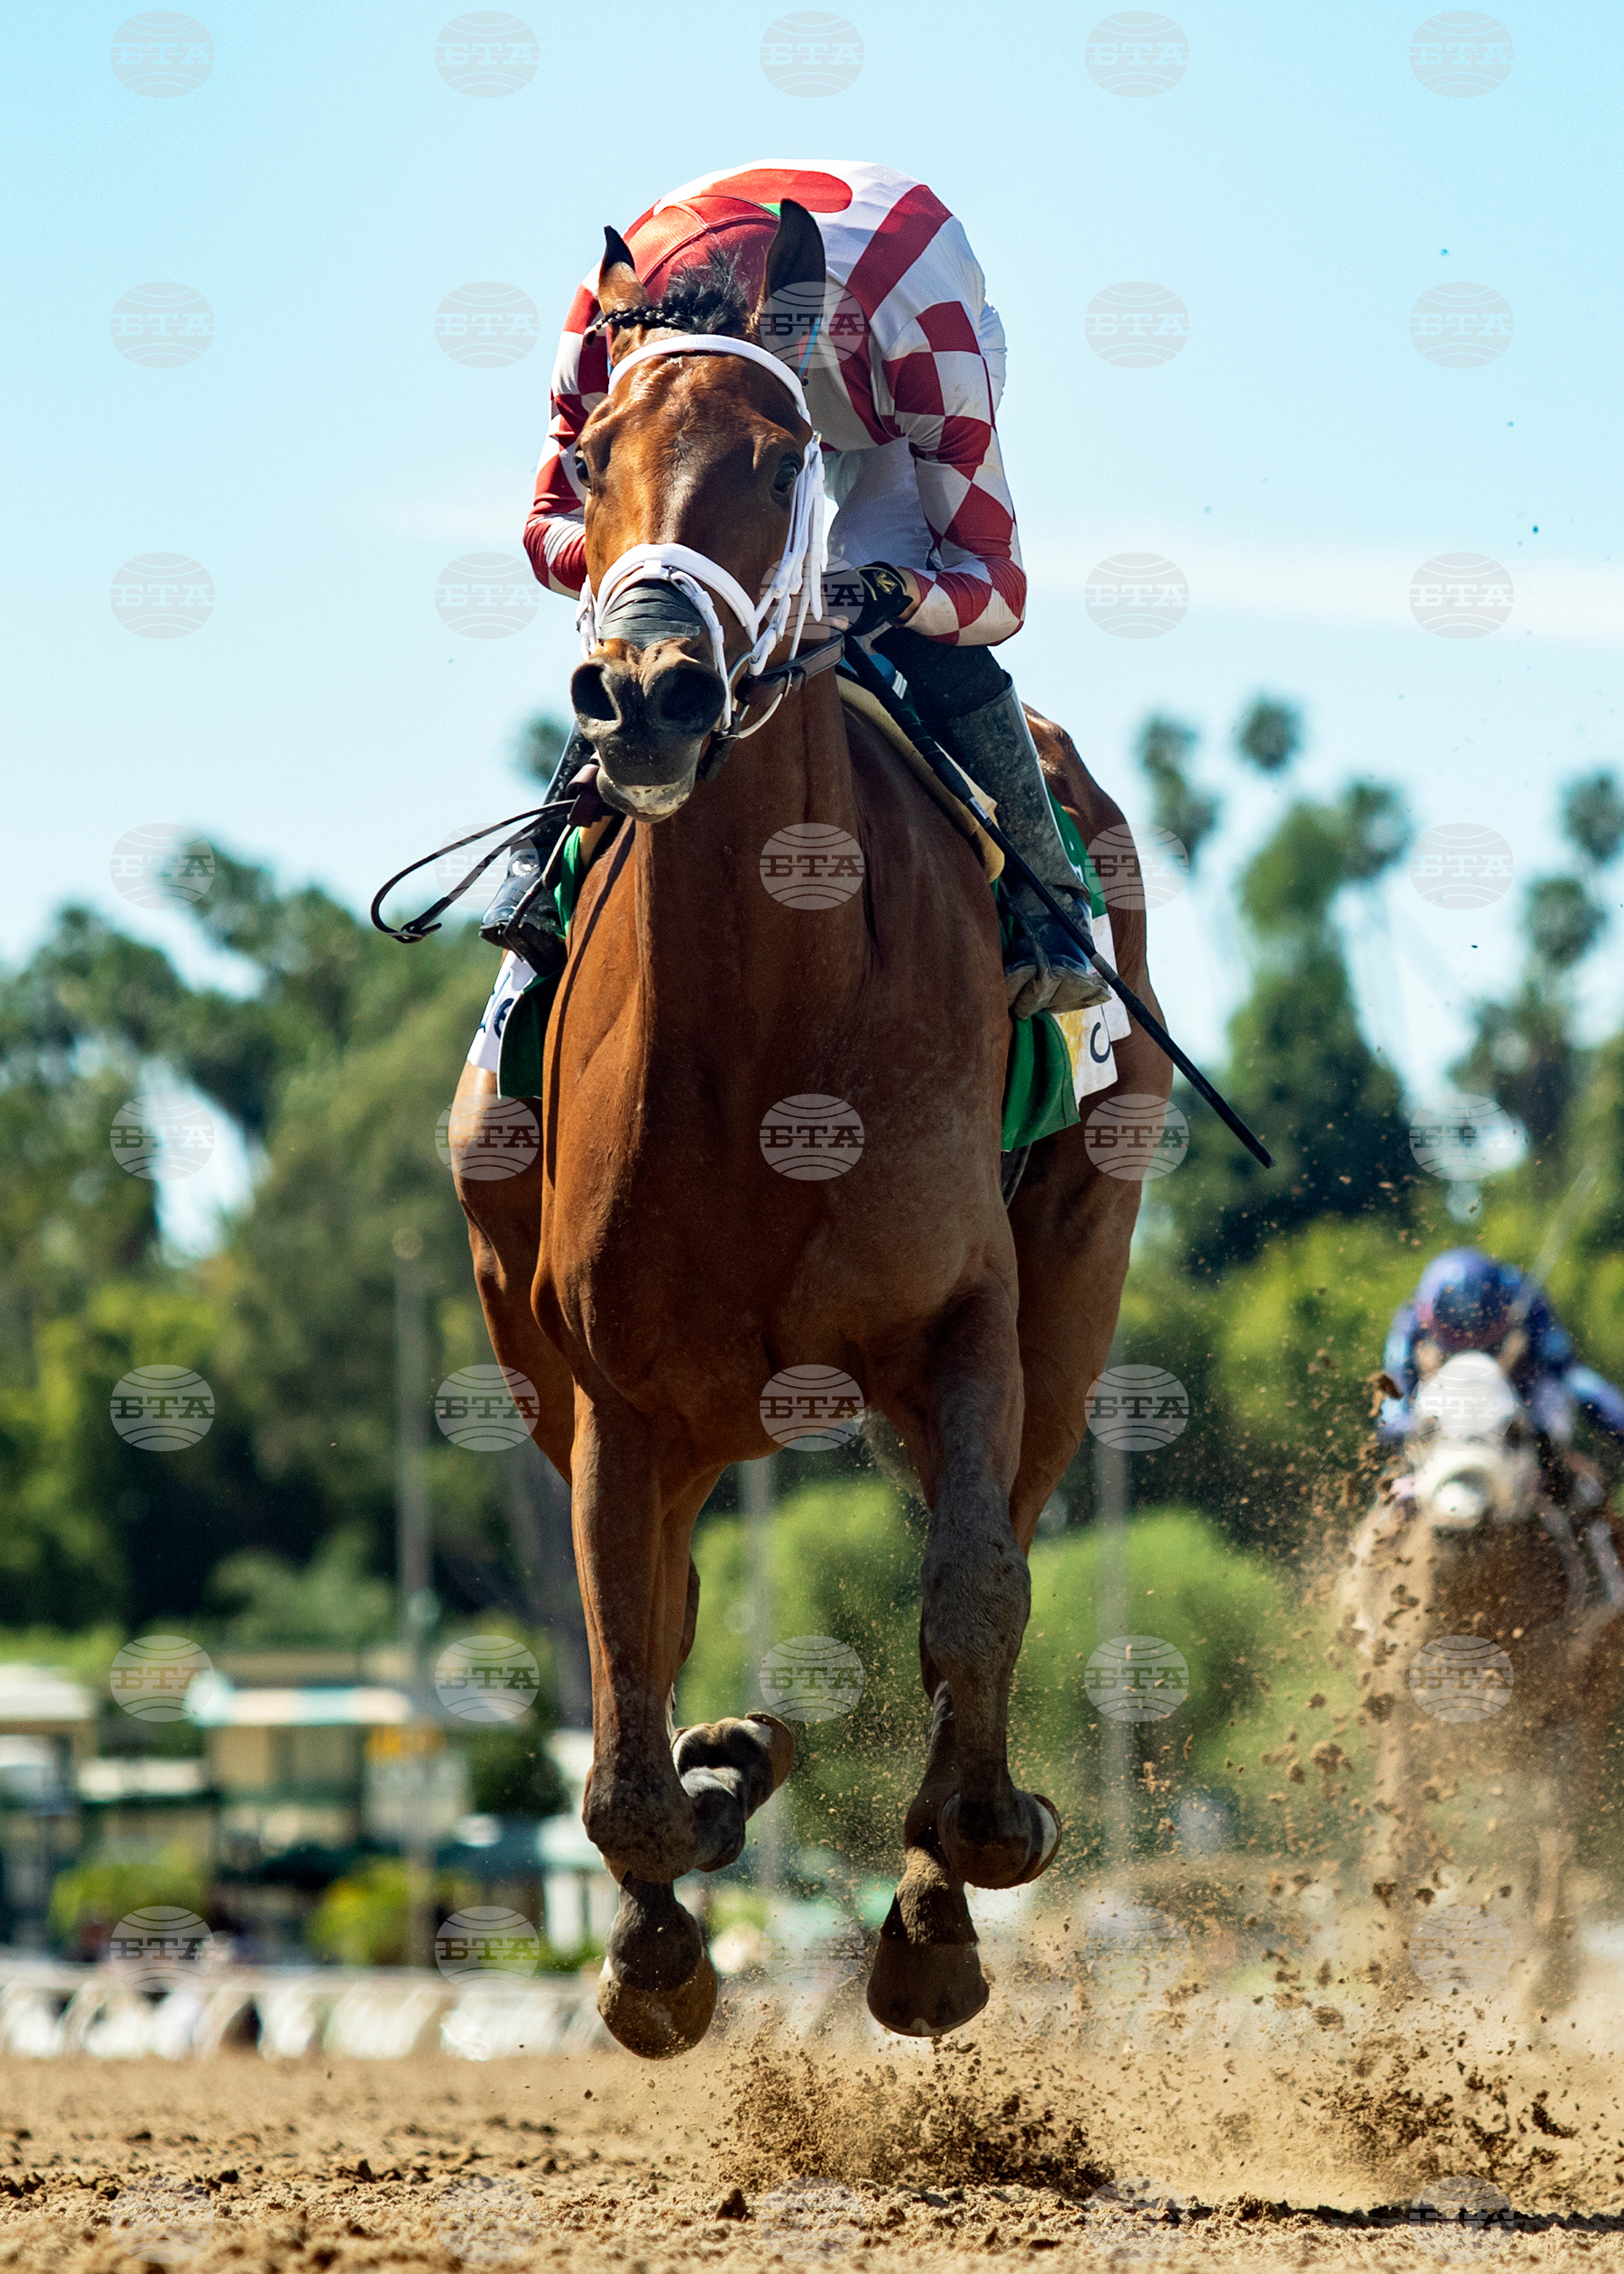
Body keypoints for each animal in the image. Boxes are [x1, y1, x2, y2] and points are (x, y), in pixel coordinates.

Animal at [450, 201, 1172, 2057]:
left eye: (780, 464)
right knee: (657, 1645)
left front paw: (963, 1875)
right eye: (592, 456)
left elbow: (978, 1601)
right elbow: (626, 1739)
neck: (775, 1034)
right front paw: (667, 1923)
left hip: (1072, 1287)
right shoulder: (617, 1398)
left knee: (998, 1547)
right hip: (594, 1385)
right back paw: (728, 1782)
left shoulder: (975, 1317)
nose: (644, 694)